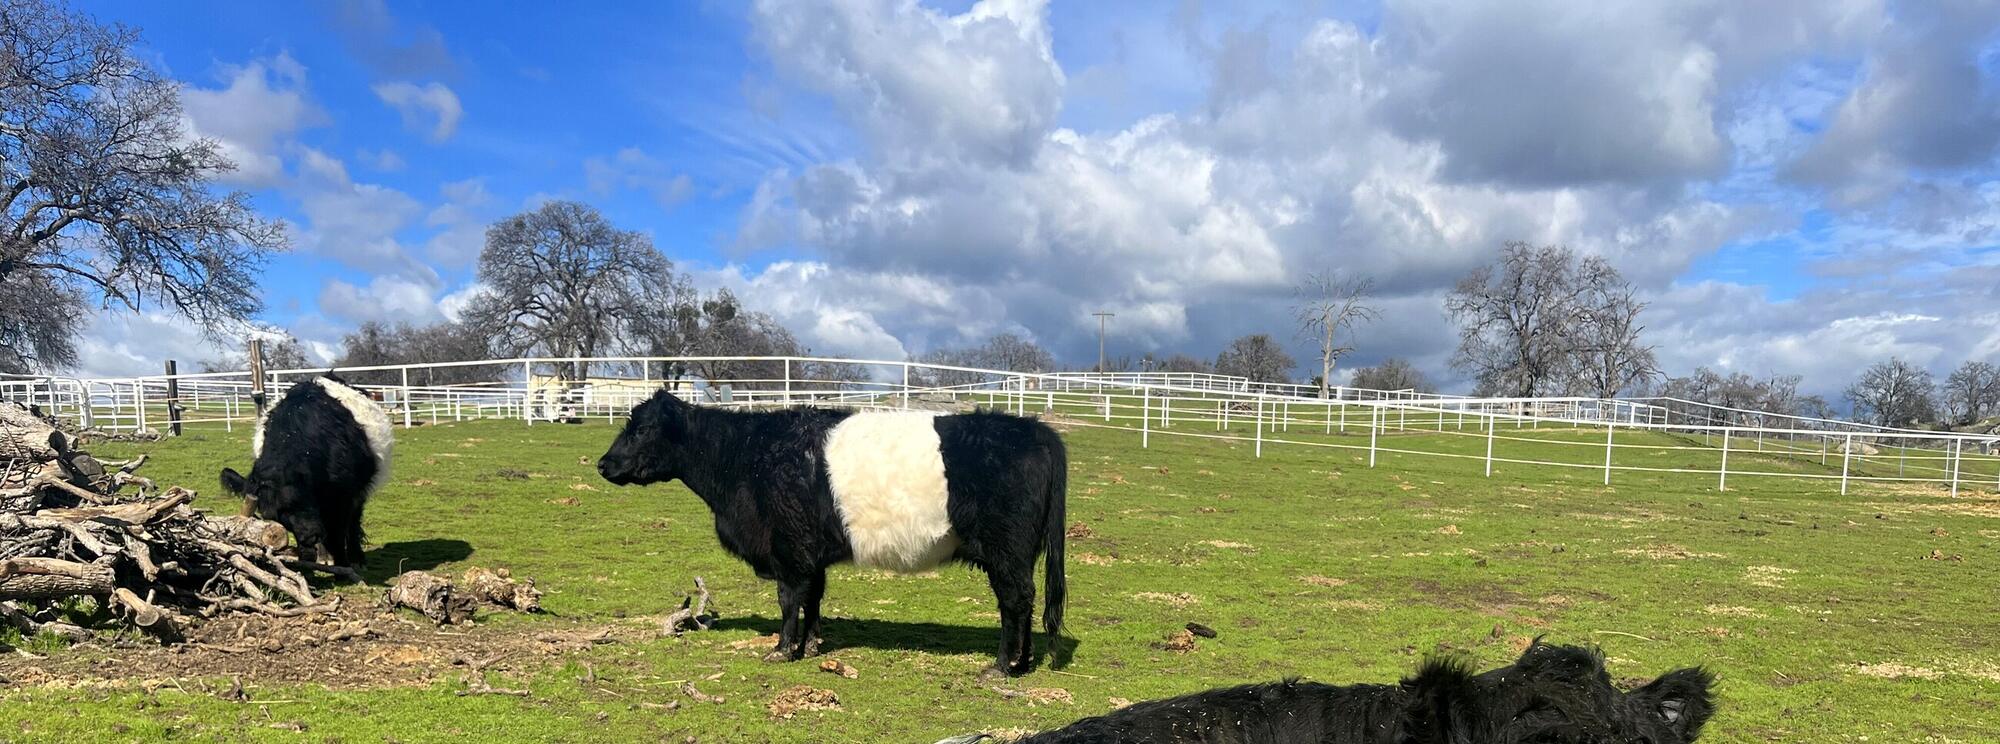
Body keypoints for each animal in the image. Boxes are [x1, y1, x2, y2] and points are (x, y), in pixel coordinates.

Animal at [219, 374, 393, 572]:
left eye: (299, 499)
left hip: (359, 491)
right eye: (275, 517)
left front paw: (343, 567)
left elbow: (338, 534)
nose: (310, 537)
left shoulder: (343, 497)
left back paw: (357, 558)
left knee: (353, 522)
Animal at [595, 390, 1067, 678]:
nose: (603, 464)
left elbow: (789, 600)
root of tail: (1035, 429)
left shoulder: (787, 548)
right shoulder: (809, 552)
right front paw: (812, 645)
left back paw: (1002, 665)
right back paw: (1022, 662)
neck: (747, 456)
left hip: (1006, 552)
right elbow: (814, 598)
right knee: (1024, 602)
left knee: (1014, 602)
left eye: (640, 429)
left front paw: (782, 649)